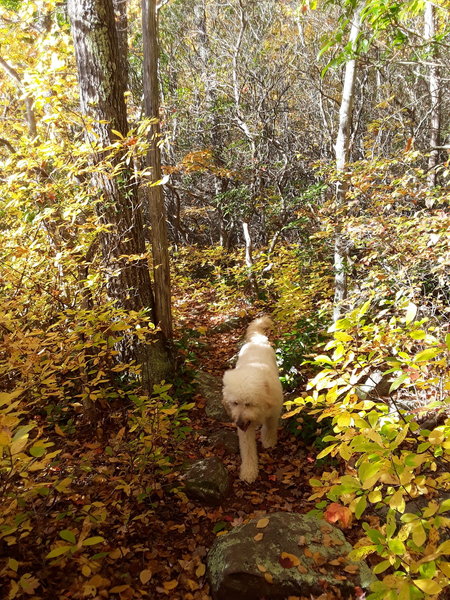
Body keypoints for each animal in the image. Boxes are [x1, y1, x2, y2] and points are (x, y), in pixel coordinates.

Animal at [223, 316, 284, 480]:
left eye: (249, 404)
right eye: (235, 403)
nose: (238, 423)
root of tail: (256, 339)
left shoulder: (273, 412)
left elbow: (270, 426)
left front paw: (268, 440)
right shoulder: (246, 429)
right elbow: (248, 450)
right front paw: (249, 471)